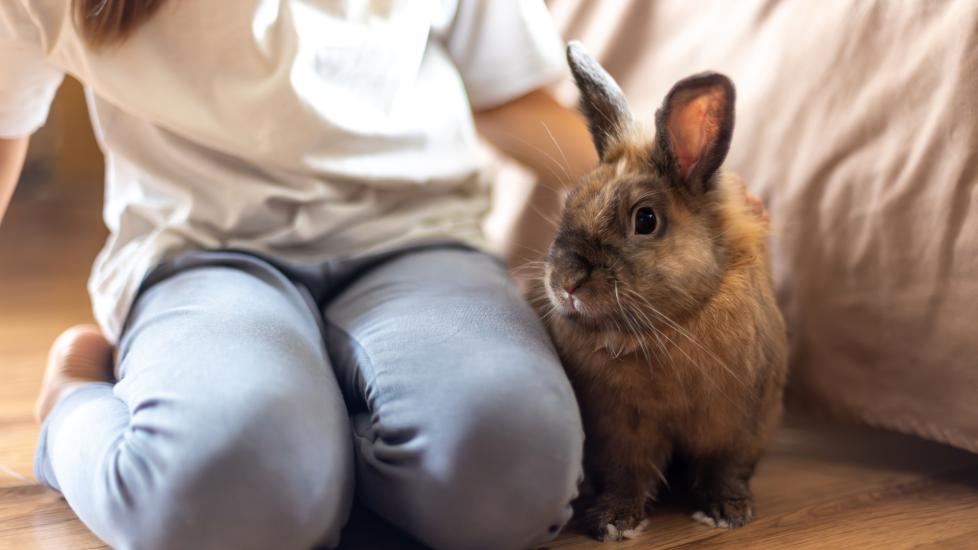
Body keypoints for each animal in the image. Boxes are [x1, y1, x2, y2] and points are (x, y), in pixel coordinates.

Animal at [528, 43, 788, 544]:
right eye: (570, 202)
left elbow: (726, 468)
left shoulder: (739, 423)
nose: (566, 282)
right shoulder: (620, 430)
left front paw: (727, 511)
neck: (669, 327)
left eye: (645, 220)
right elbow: (626, 475)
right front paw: (613, 521)